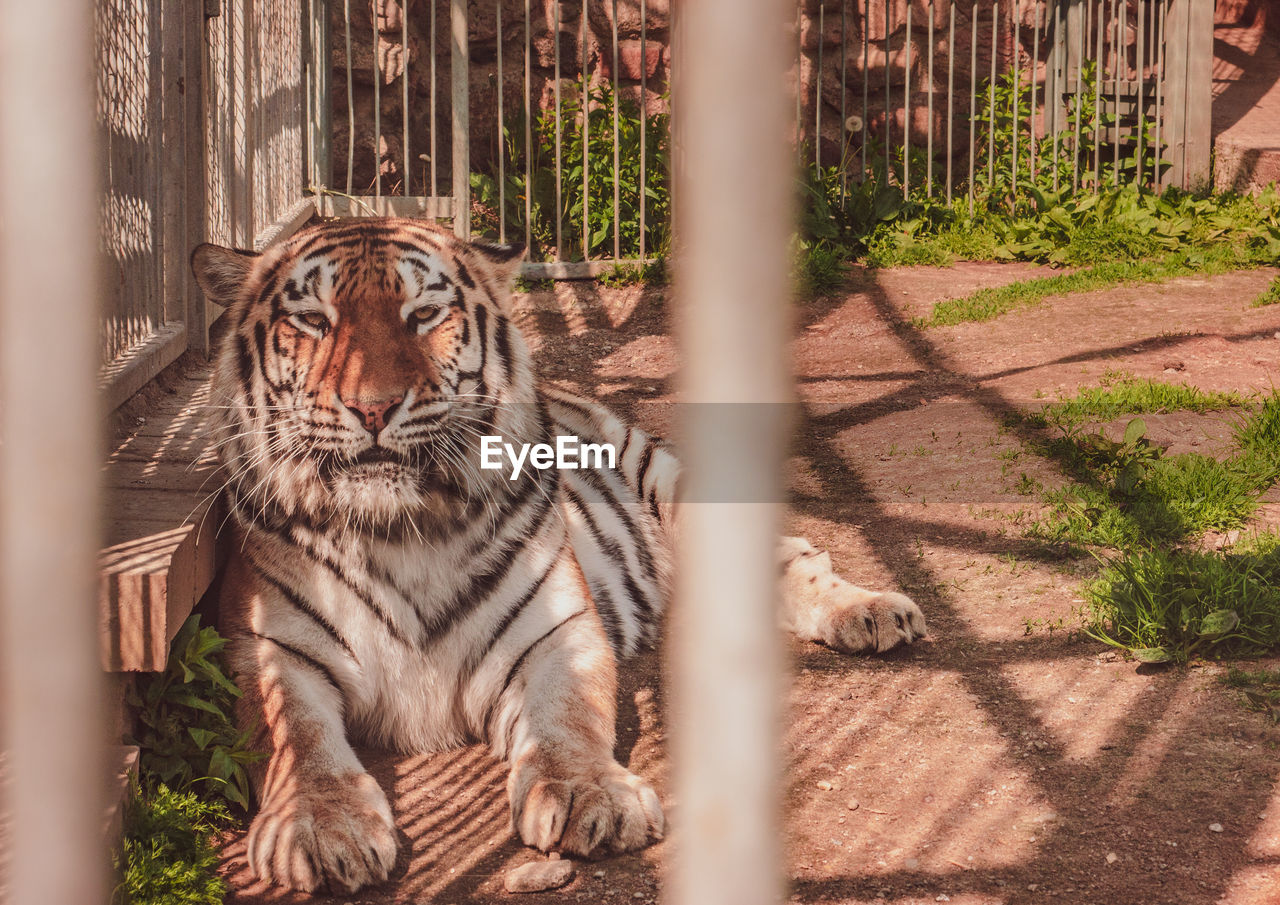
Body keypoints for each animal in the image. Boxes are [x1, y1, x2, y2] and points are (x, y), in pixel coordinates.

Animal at [189, 216, 926, 896]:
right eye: (314, 321)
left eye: (423, 314)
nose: (373, 408)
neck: (399, 528)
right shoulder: (268, 648)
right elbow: (297, 737)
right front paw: (322, 827)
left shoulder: (555, 630)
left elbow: (567, 716)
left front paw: (589, 795)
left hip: (667, 482)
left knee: (790, 555)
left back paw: (873, 613)